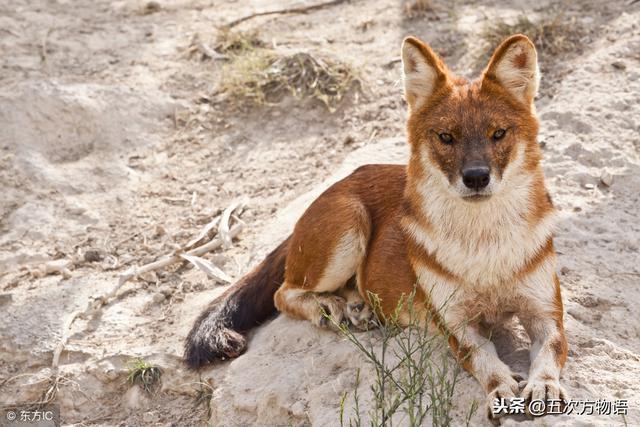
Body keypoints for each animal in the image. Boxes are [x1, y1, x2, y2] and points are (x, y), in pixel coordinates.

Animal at [184, 34, 564, 422]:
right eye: (445, 137)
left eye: (498, 133)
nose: (475, 177)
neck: (485, 241)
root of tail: (343, 180)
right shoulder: (456, 323)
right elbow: (483, 357)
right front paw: (501, 388)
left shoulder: (545, 311)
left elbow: (551, 348)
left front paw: (545, 385)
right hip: (349, 221)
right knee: (283, 291)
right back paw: (327, 307)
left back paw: (360, 308)